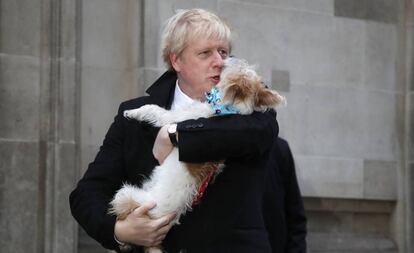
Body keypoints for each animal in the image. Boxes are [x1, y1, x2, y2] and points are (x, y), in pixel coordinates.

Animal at [109, 58, 284, 252]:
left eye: (235, 67)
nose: (223, 60)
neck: (226, 108)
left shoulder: (175, 118)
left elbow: (154, 110)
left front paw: (133, 112)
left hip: (128, 195)